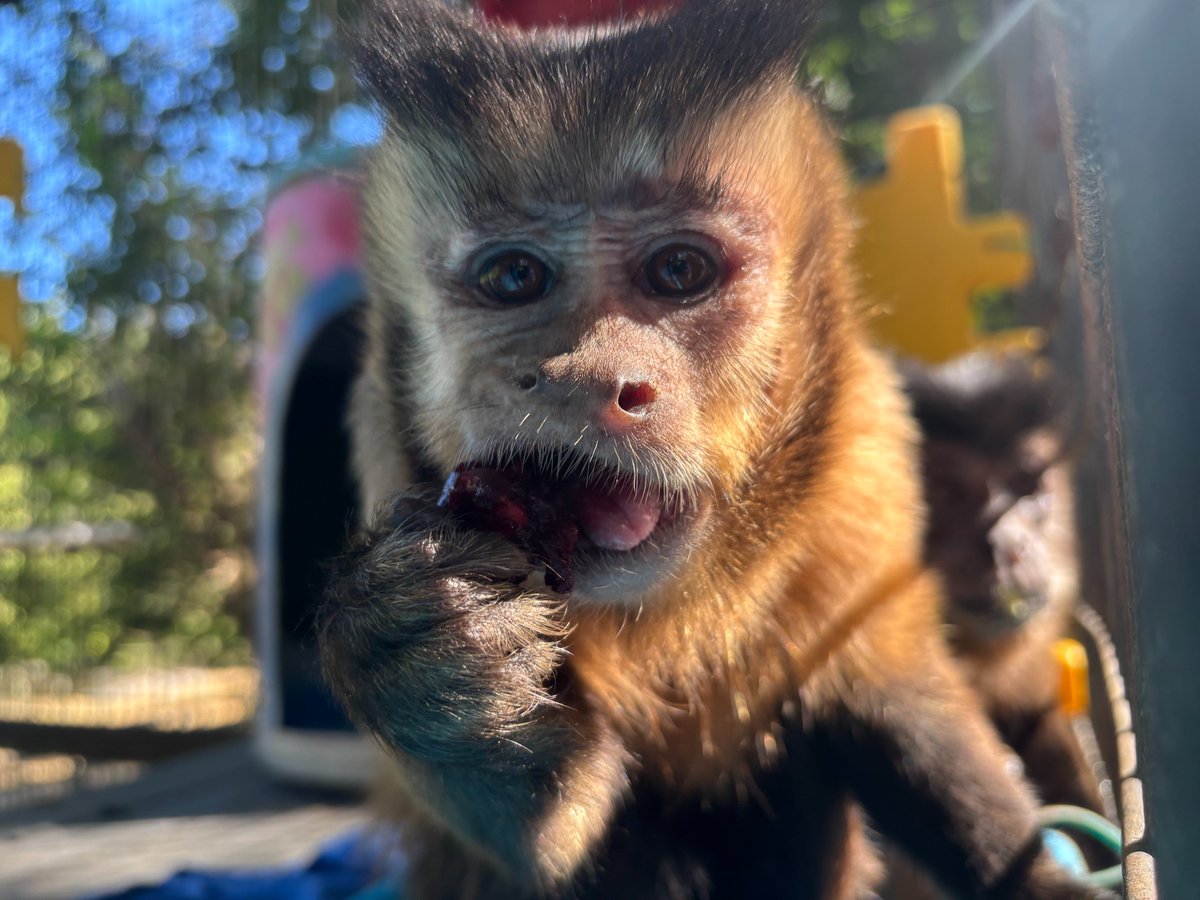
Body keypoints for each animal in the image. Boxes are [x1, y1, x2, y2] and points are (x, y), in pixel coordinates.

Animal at [316, 2, 1117, 897]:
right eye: (514, 278)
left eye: (680, 270)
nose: (587, 379)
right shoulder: (384, 438)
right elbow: (554, 833)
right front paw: (432, 680)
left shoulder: (865, 454)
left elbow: (895, 703)